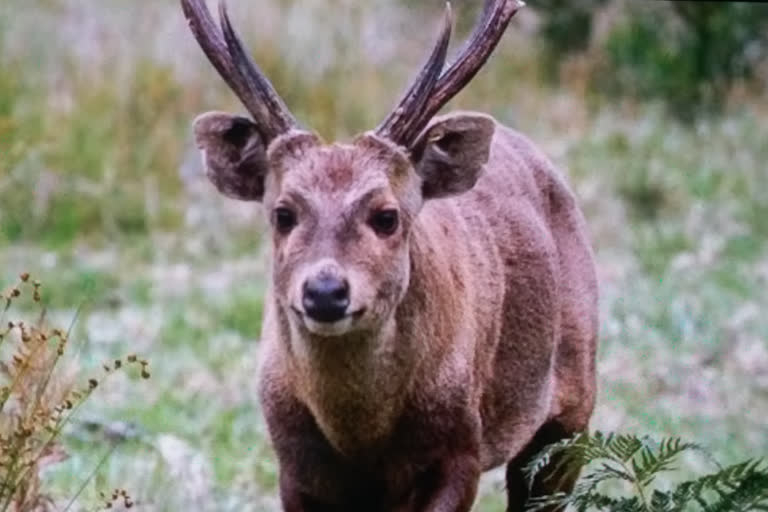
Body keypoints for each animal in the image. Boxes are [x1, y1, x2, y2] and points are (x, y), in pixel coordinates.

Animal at [182, 0, 600, 510]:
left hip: (573, 400)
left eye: (386, 216)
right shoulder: (292, 461)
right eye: (282, 213)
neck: (361, 442)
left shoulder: (460, 445)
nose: (325, 291)